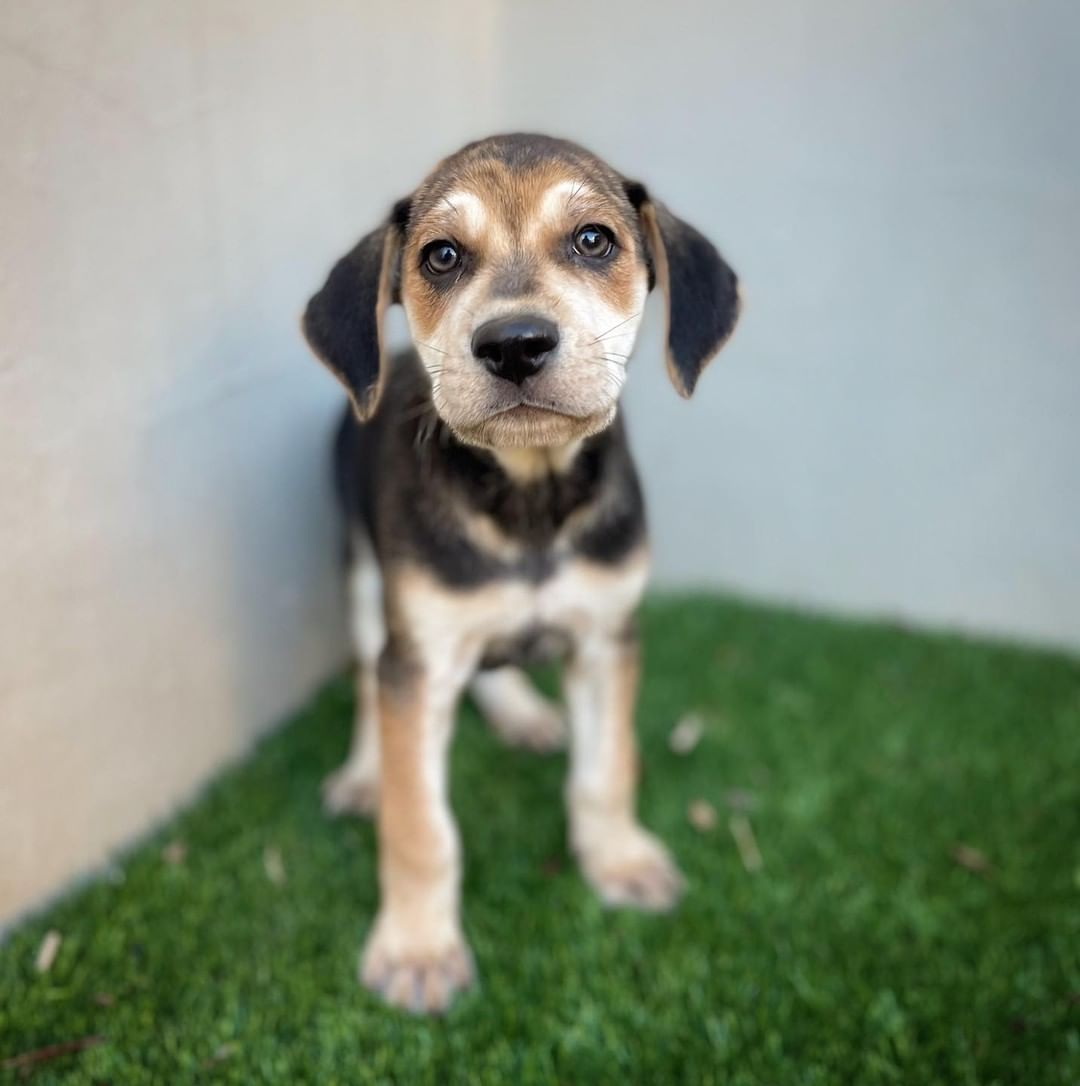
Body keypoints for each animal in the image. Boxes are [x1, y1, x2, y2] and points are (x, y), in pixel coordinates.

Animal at [304, 131, 738, 1012]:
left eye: (594, 240)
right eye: (440, 256)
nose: (513, 344)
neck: (529, 495)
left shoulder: (607, 638)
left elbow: (607, 771)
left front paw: (621, 862)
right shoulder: (421, 657)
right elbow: (420, 826)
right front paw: (417, 950)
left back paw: (523, 714)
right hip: (367, 582)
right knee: (367, 678)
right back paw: (364, 775)